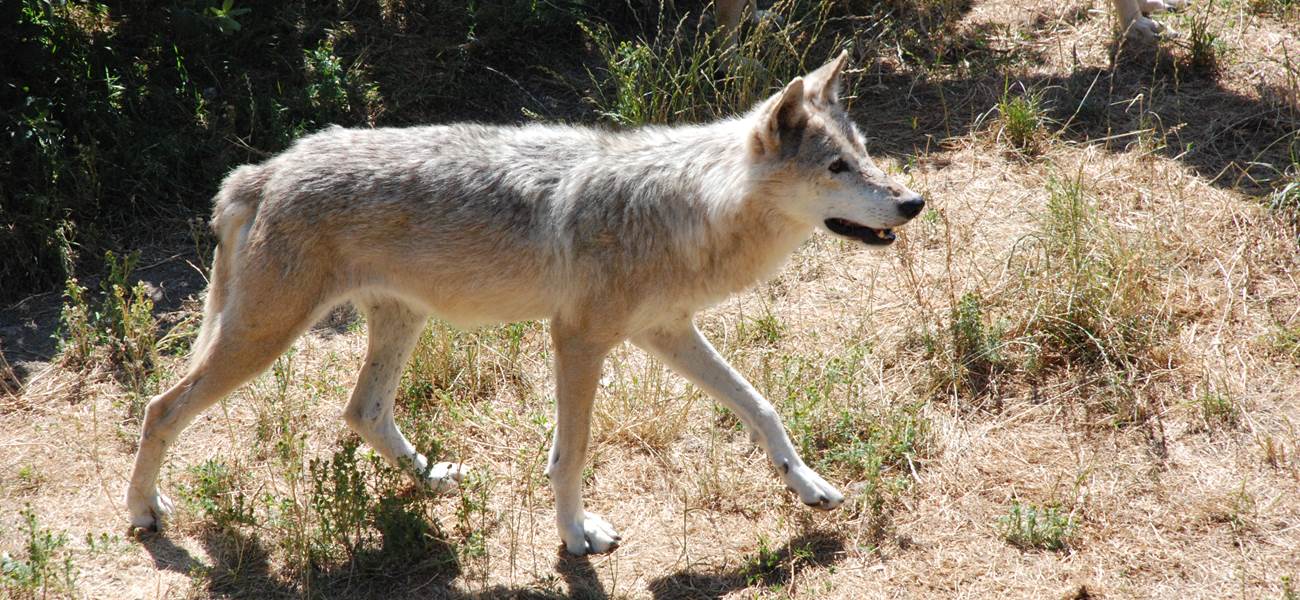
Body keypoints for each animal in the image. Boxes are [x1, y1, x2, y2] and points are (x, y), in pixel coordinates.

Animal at [124, 52, 925, 558]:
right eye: (836, 168)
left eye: (865, 153)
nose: (913, 202)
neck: (688, 207)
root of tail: (263, 170)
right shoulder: (578, 340)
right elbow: (572, 453)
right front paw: (577, 536)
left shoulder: (666, 331)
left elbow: (761, 406)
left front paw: (810, 486)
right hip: (264, 339)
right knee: (160, 407)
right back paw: (144, 515)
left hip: (397, 322)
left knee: (362, 411)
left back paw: (433, 478)